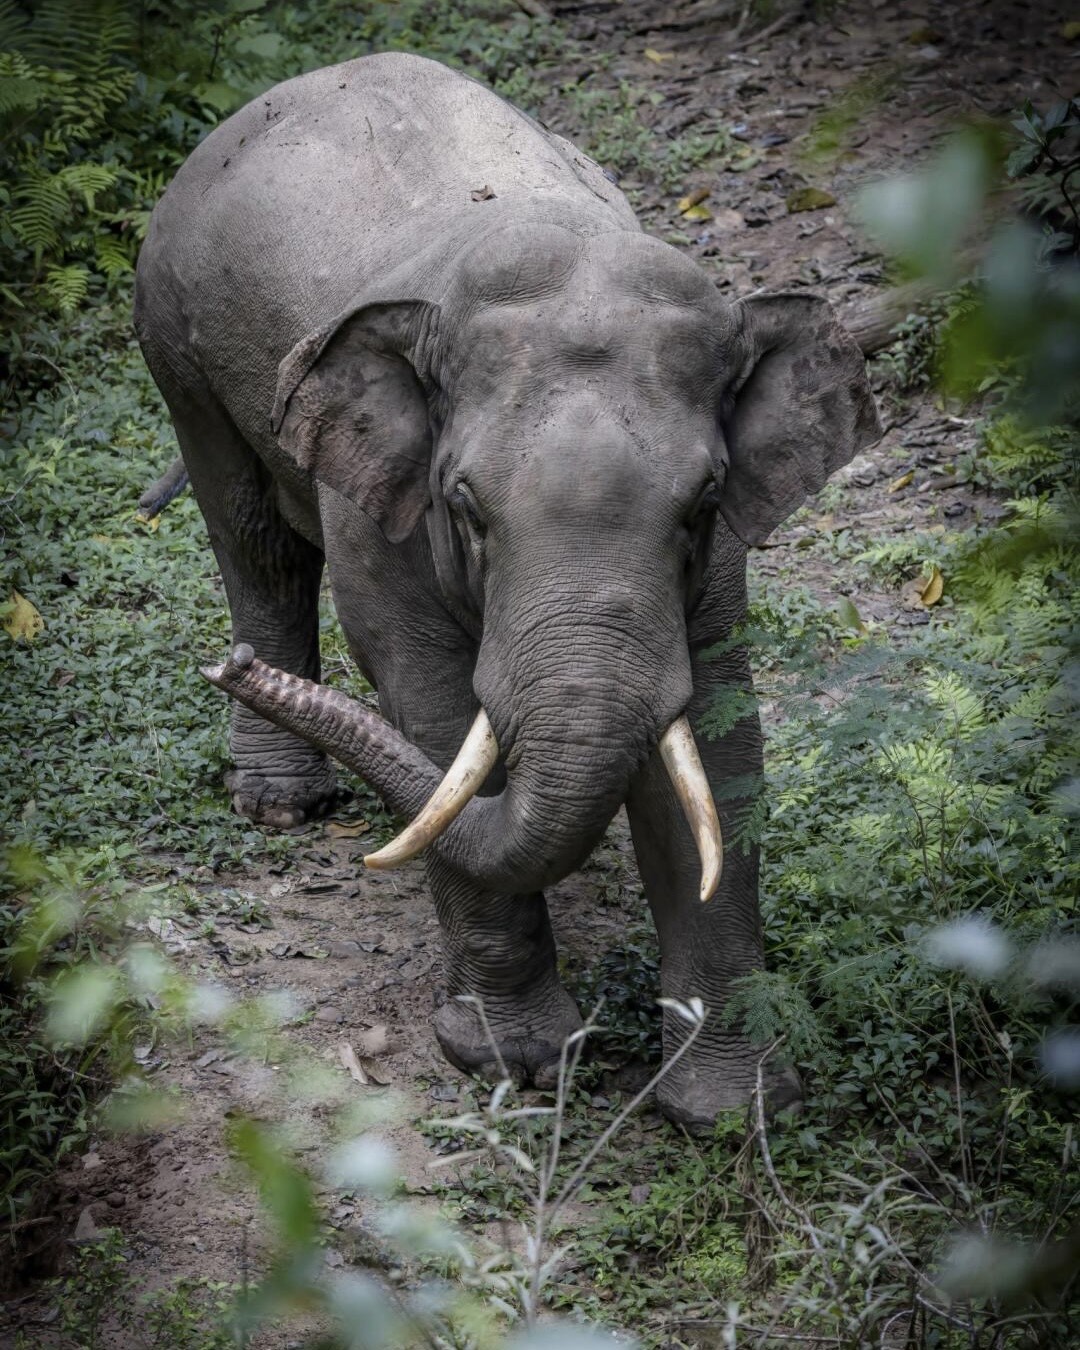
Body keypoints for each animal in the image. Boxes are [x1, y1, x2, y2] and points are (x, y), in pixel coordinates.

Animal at [134, 51, 880, 1129]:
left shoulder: (717, 568)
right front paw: (512, 1062)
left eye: (700, 505)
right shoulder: (381, 523)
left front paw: (730, 1111)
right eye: (466, 506)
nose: (221, 669)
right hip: (175, 339)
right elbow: (438, 708)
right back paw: (279, 805)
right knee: (254, 536)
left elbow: (717, 743)